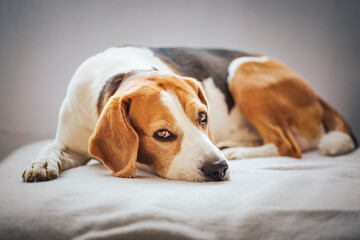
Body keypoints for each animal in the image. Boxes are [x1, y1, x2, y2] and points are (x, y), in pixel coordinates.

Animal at [22, 47, 358, 182]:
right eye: (162, 134)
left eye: (203, 117)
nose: (218, 170)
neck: (123, 71)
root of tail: (314, 92)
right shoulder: (74, 144)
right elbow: (51, 146)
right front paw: (41, 164)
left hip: (241, 70)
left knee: (289, 146)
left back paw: (236, 152)